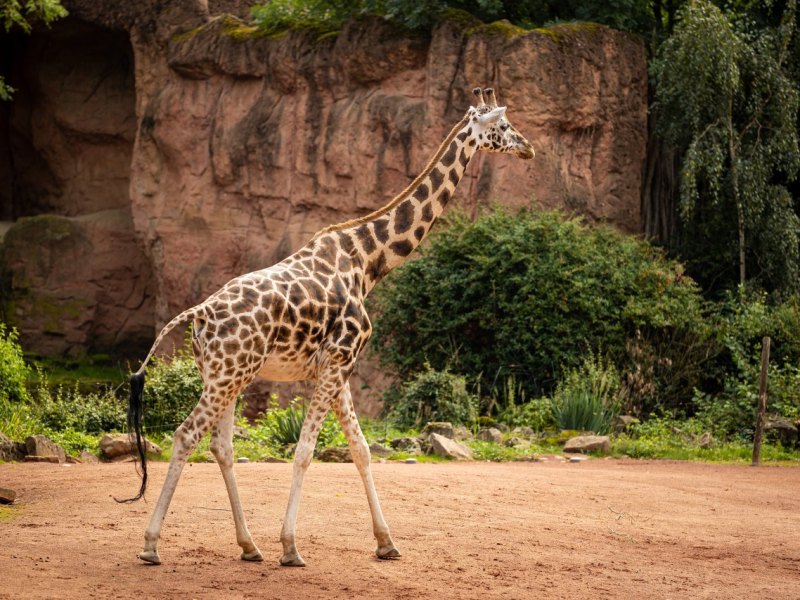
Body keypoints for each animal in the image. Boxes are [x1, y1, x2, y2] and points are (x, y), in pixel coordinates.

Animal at [121, 87, 534, 567]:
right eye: (502, 126)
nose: (529, 148)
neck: (368, 261)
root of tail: (199, 315)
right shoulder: (339, 360)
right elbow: (304, 451)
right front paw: (291, 547)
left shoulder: (338, 368)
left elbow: (361, 449)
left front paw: (386, 543)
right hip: (229, 375)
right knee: (187, 434)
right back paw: (151, 545)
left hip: (224, 375)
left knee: (221, 446)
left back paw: (249, 546)